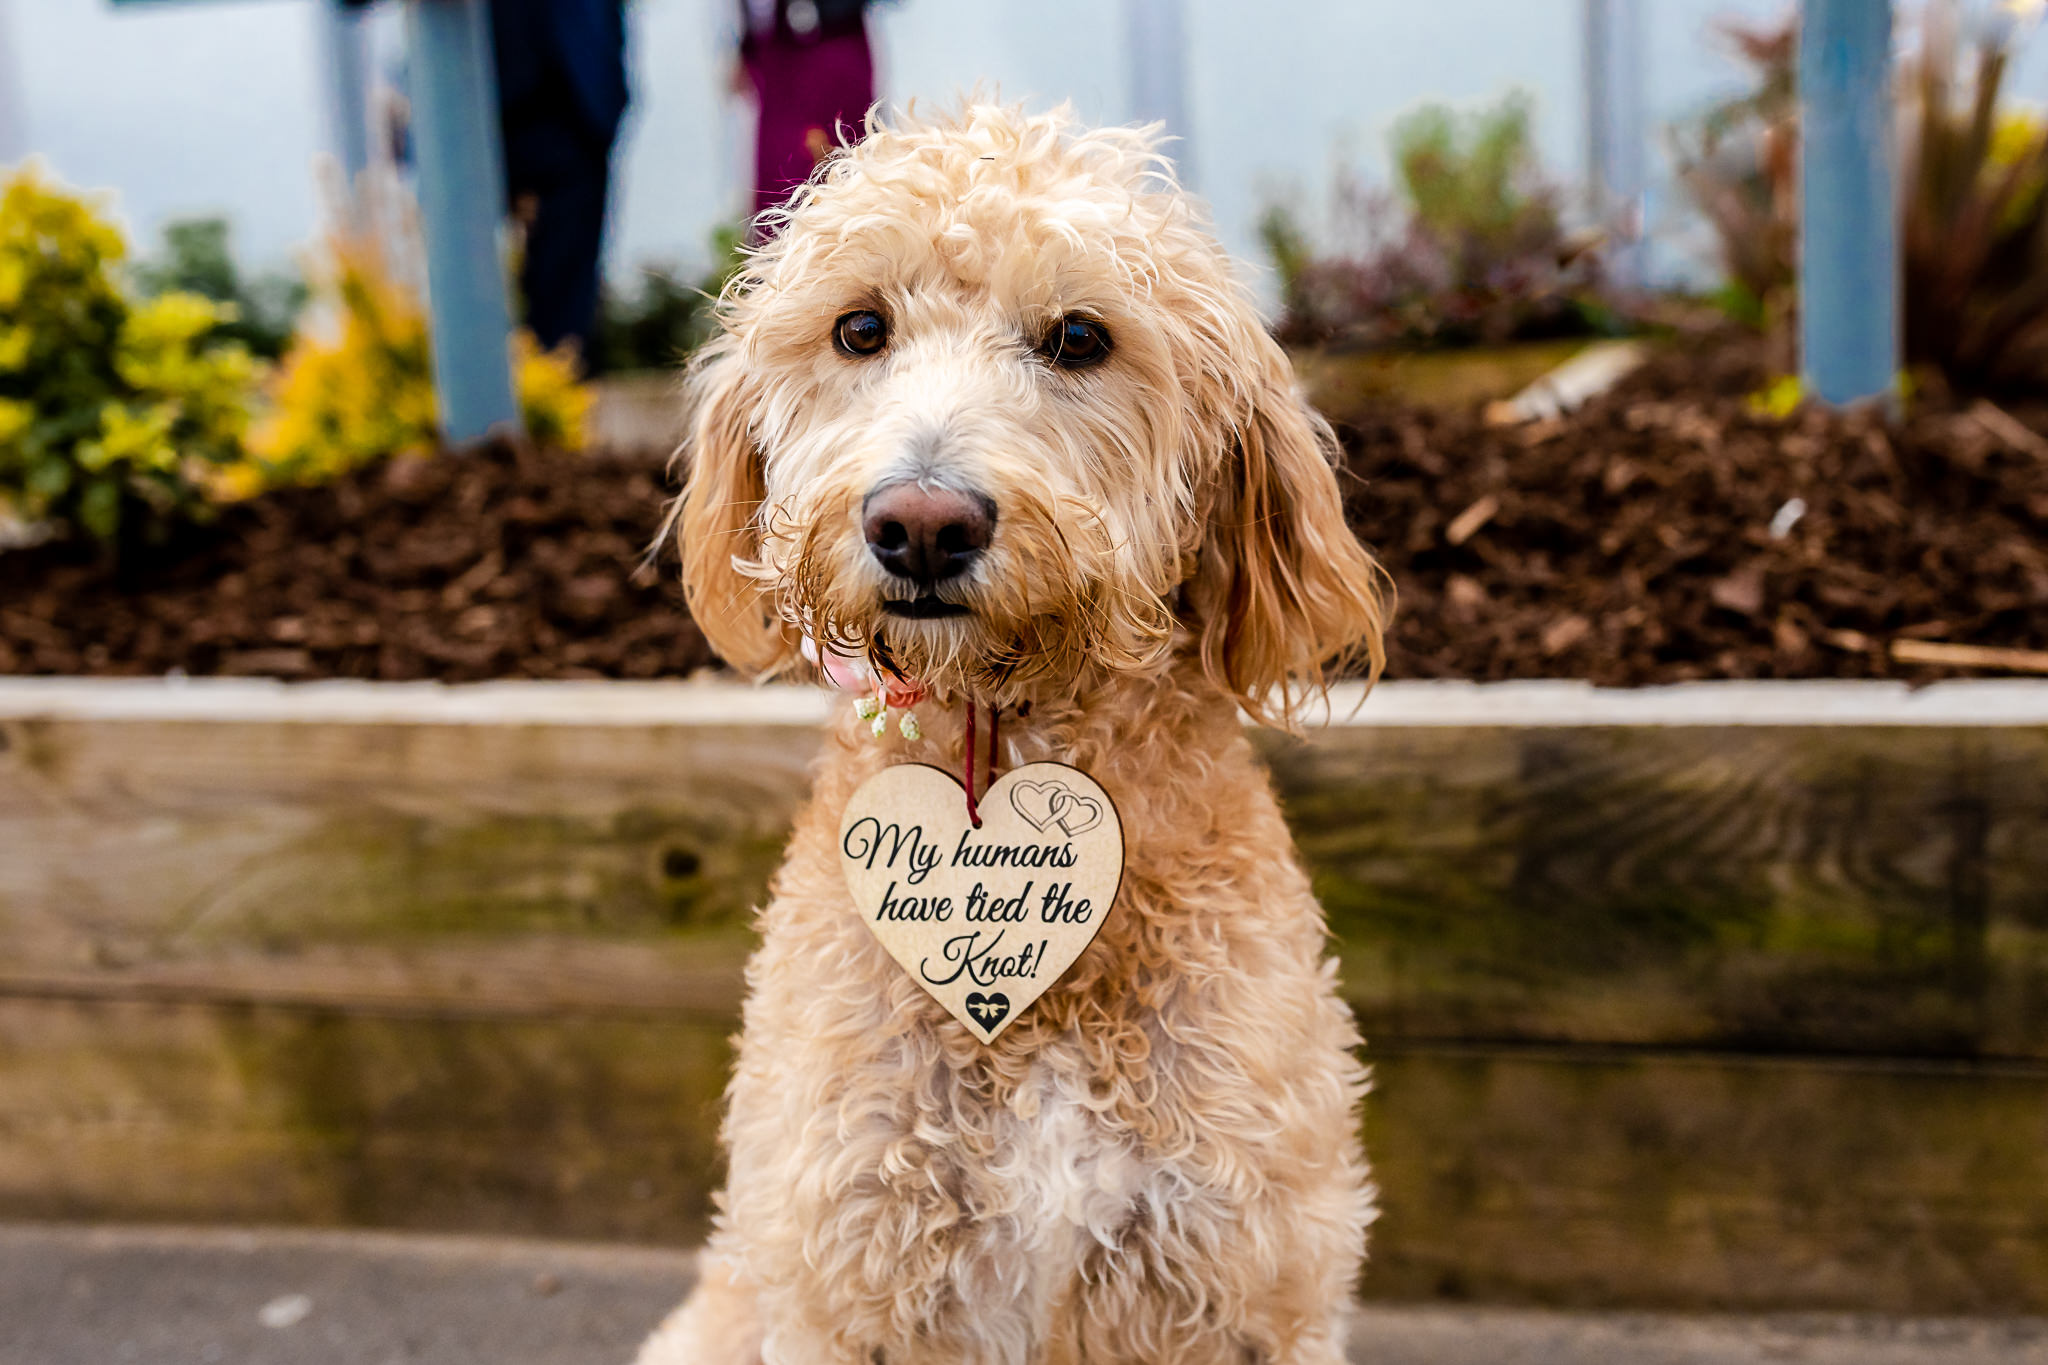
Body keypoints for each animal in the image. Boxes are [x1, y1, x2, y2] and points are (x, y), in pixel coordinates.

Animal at [638, 98, 1392, 1365]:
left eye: (1079, 337)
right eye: (858, 328)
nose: (922, 523)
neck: (1008, 729)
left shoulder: (1245, 1275)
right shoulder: (846, 1271)